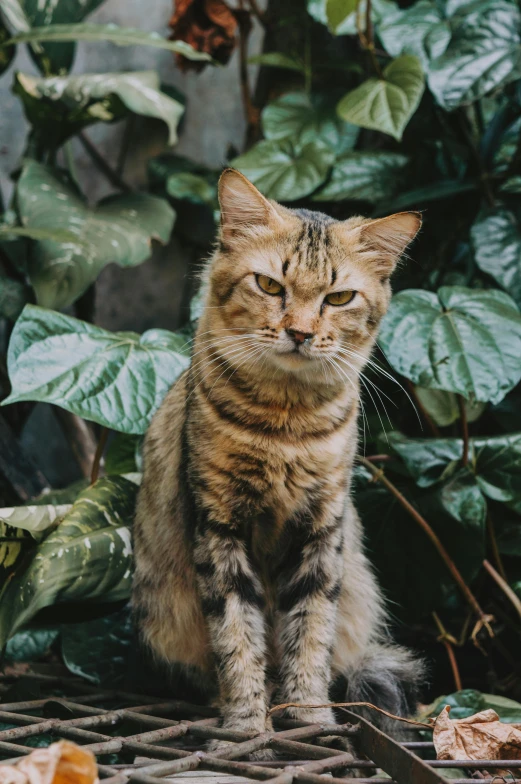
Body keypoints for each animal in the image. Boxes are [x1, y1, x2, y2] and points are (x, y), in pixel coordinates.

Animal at [132, 170, 424, 752]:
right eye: (270, 287)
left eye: (338, 297)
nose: (301, 332)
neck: (284, 428)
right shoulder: (219, 524)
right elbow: (238, 637)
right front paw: (246, 724)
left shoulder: (321, 527)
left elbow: (309, 632)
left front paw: (309, 718)